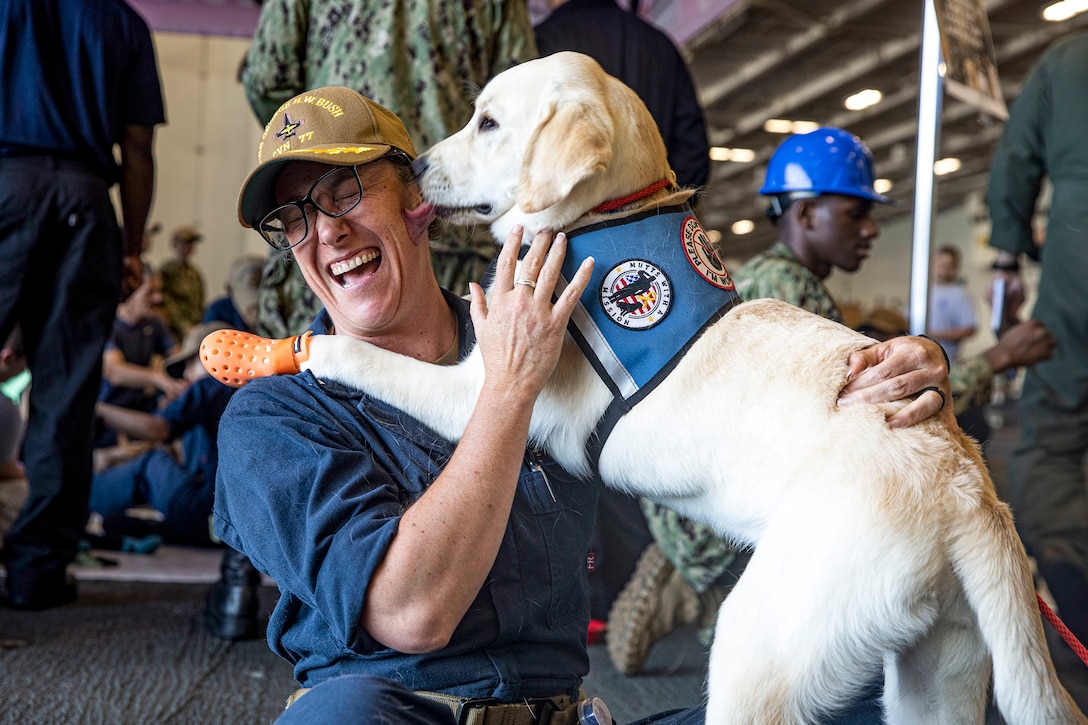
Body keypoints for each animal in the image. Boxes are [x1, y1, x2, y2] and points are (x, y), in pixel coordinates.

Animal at [207, 53, 1083, 718]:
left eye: (487, 122)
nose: (416, 166)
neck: (599, 223)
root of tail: (969, 488)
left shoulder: (477, 392)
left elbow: (372, 359)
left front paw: (296, 347)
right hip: (938, 673)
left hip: (759, 644)